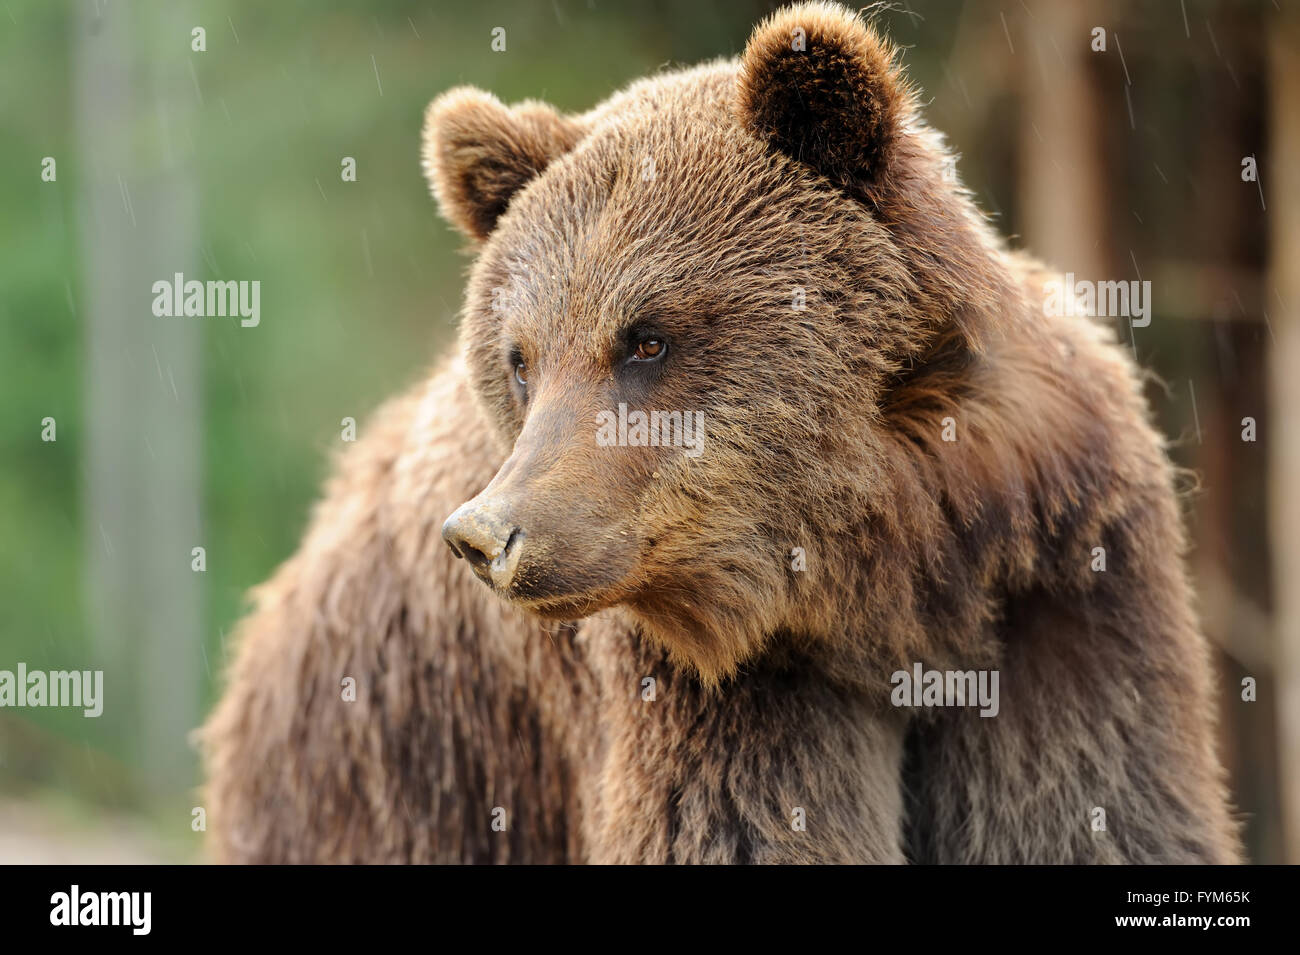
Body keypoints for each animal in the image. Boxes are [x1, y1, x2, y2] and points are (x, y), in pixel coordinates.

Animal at [200, 1, 1237, 867]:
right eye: (521, 356)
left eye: (646, 338)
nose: (485, 535)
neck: (897, 574)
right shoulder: (713, 683)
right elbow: (740, 828)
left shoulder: (1066, 585)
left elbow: (1096, 813)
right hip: (402, 759)